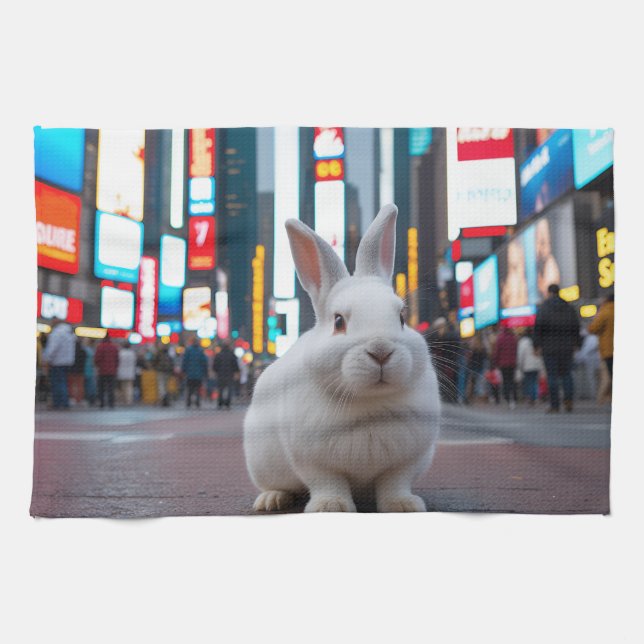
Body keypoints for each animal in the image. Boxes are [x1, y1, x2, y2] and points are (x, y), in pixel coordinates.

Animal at [243, 204, 441, 512]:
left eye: (401, 317)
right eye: (338, 322)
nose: (380, 350)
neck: (369, 403)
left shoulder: (405, 462)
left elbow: (395, 483)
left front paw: (404, 506)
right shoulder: (313, 462)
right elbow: (327, 483)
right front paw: (330, 507)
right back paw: (271, 500)